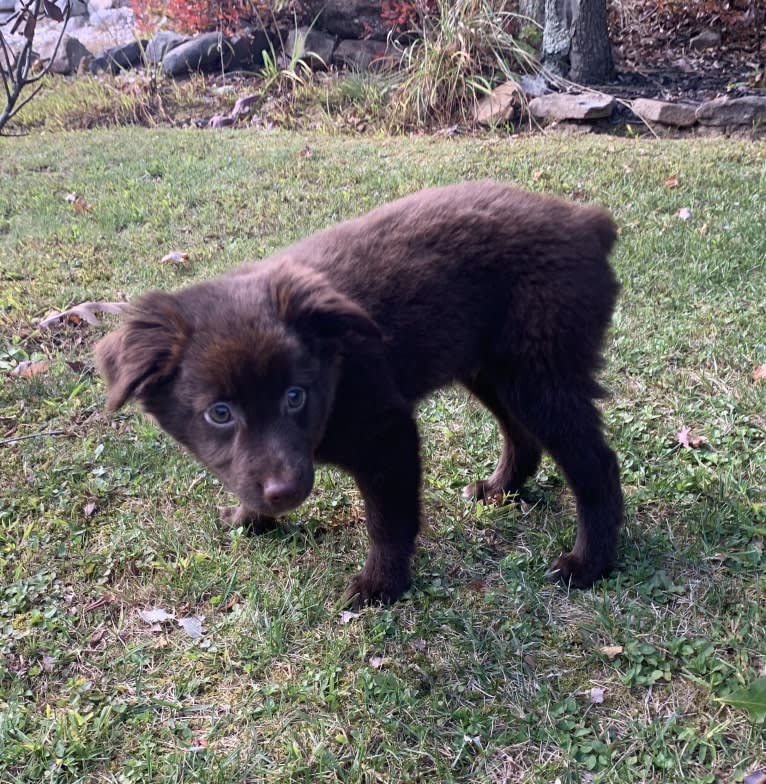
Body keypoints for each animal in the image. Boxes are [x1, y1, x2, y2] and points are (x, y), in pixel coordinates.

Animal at [96, 182, 624, 608]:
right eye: (220, 413)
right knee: (521, 433)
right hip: (494, 370)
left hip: (540, 375)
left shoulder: (388, 434)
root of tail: (587, 221)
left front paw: (381, 586)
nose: (287, 492)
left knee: (596, 464)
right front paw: (251, 518)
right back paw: (501, 489)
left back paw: (589, 563)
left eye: (295, 396)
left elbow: (389, 521)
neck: (335, 372)